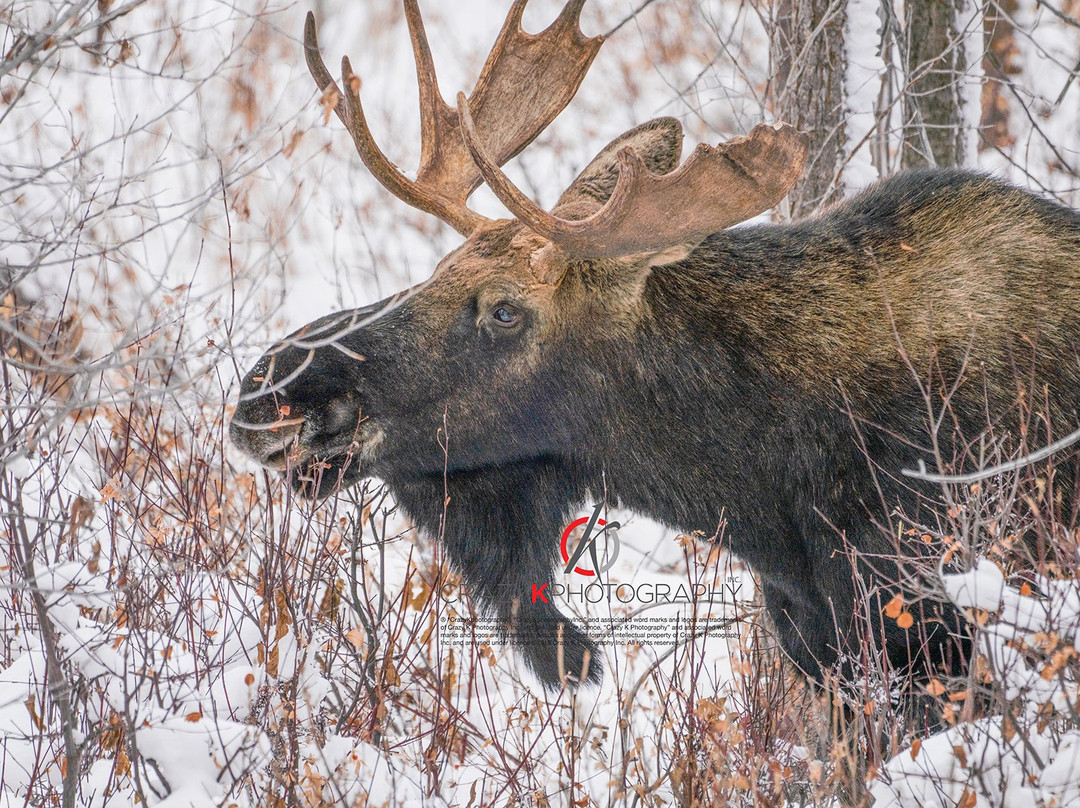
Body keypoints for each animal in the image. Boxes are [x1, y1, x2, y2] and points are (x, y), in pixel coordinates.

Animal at [232, 1, 1080, 695]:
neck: (762, 496)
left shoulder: (924, 604)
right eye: (438, 269)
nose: (267, 389)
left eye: (504, 311)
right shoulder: (818, 635)